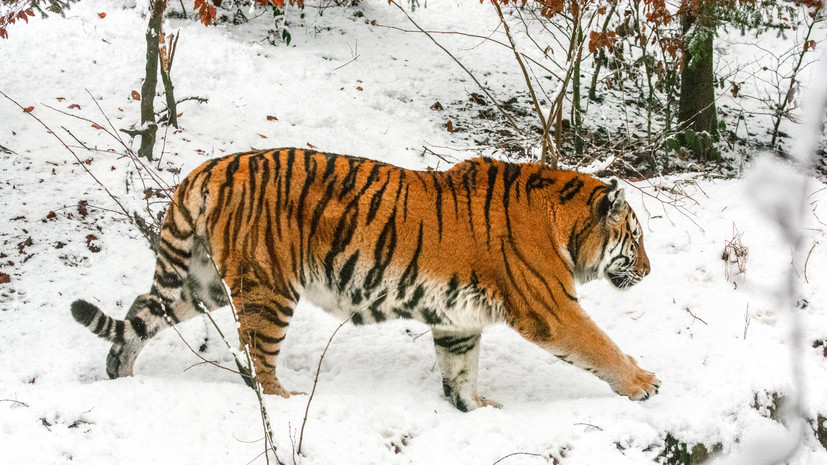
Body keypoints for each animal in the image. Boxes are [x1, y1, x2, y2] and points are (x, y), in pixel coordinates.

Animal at [74, 148, 664, 410]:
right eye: (635, 239)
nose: (649, 270)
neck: (563, 222)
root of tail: (208, 168)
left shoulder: (457, 320)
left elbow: (460, 370)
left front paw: (474, 409)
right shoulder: (551, 307)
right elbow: (600, 344)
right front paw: (643, 382)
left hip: (201, 283)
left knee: (139, 314)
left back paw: (120, 375)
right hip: (268, 290)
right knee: (258, 357)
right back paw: (284, 400)